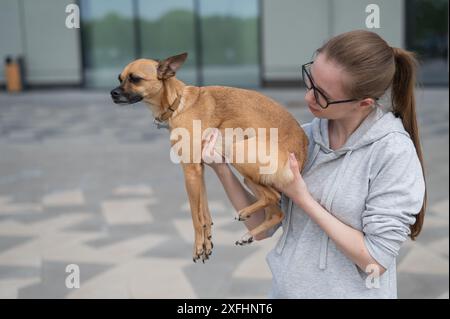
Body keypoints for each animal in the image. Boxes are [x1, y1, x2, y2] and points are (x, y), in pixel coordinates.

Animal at [111, 52, 310, 262]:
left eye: (135, 79)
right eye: (120, 78)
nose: (112, 93)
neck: (178, 103)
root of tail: (303, 150)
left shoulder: (190, 171)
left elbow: (195, 215)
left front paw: (197, 246)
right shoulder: (200, 169)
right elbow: (204, 211)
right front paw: (206, 242)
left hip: (238, 152)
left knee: (273, 196)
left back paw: (244, 213)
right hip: (249, 178)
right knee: (276, 211)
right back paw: (248, 234)